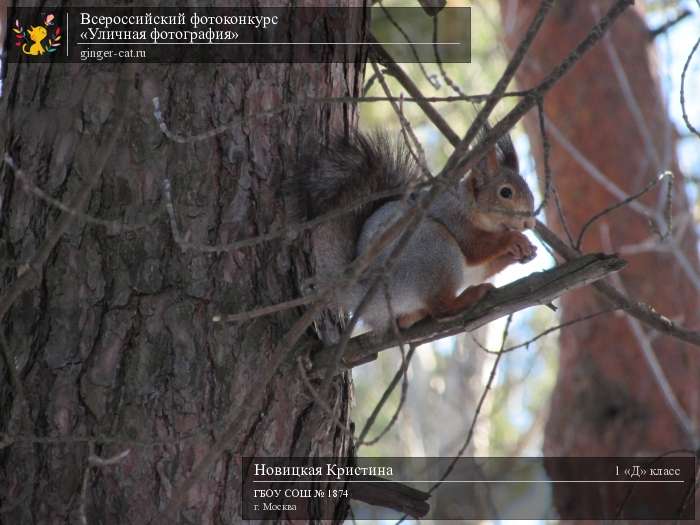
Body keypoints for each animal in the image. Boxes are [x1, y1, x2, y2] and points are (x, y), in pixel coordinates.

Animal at [296, 128, 536, 332]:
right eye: (505, 192)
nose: (530, 223)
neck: (470, 206)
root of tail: (367, 298)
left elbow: (488, 264)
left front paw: (522, 253)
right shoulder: (453, 217)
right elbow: (475, 248)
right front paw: (514, 239)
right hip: (434, 249)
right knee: (441, 309)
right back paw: (469, 296)